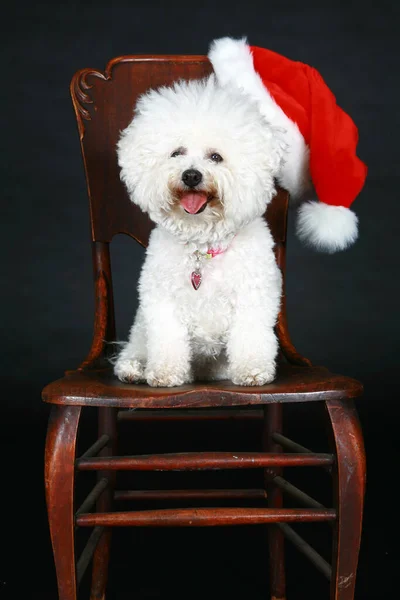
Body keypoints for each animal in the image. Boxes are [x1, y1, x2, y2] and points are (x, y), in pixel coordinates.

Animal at [113, 75, 284, 386]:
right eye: (176, 153)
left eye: (216, 157)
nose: (191, 175)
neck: (201, 247)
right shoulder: (163, 301)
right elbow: (167, 340)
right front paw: (165, 372)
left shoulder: (253, 297)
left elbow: (251, 337)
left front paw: (252, 370)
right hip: (141, 327)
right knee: (136, 347)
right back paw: (134, 368)